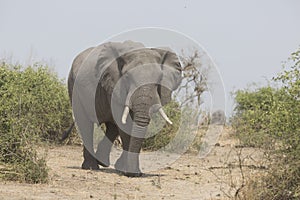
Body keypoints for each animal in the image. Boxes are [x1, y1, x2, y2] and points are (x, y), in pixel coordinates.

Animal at [68, 40, 182, 177]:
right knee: (85, 125)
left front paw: (127, 170)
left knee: (112, 127)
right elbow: (125, 123)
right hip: (74, 88)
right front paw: (130, 172)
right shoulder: (115, 85)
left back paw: (103, 163)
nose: (135, 174)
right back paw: (91, 167)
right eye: (127, 77)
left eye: (159, 79)